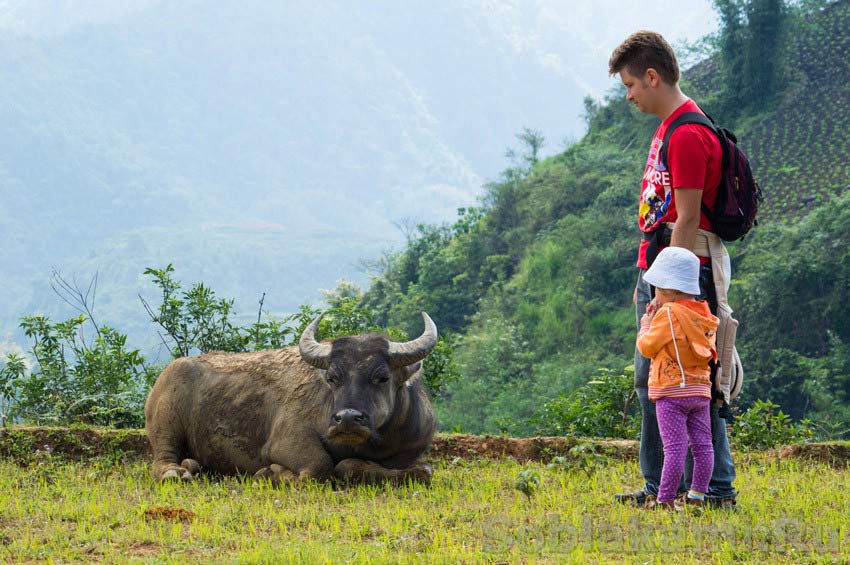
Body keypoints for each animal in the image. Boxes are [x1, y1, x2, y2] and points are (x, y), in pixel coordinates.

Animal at [144, 310, 438, 482]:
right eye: (332, 378)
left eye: (382, 377)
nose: (347, 419)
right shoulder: (285, 442)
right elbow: (321, 466)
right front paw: (273, 473)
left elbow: (420, 471)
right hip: (165, 421)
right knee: (162, 457)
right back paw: (176, 472)